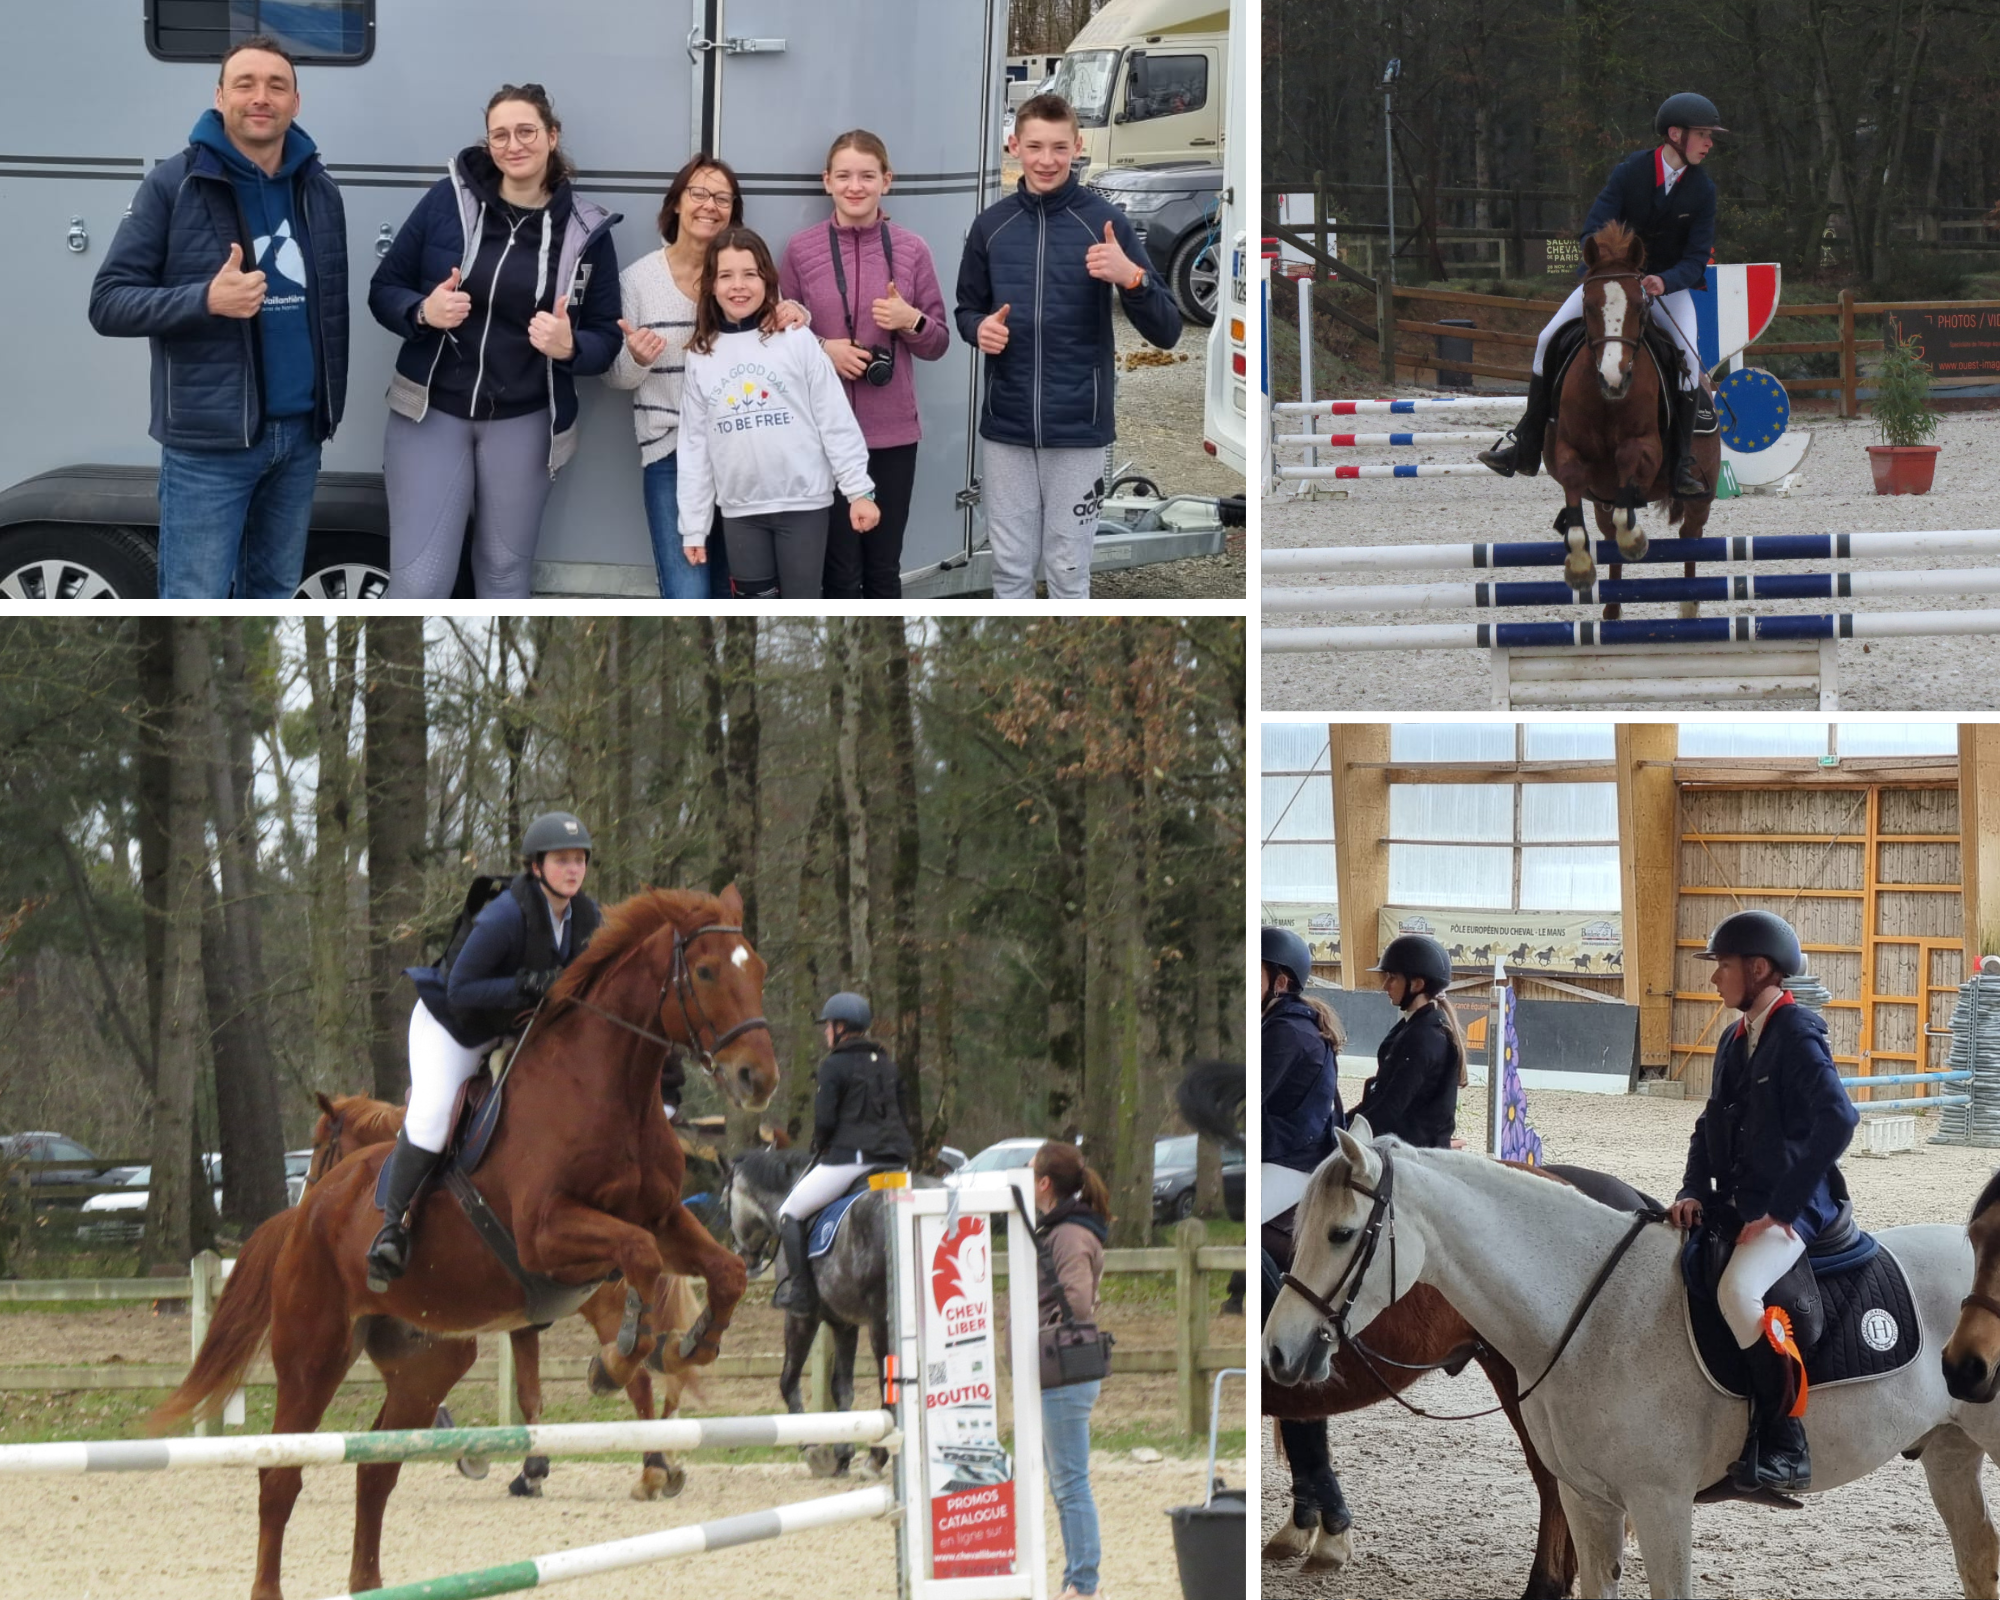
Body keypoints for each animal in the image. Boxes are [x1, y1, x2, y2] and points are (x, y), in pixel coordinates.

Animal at [300, 1088, 700, 1504]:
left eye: (319, 1145)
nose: (308, 1195)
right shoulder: (515, 1324)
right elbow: (529, 1394)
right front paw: (531, 1470)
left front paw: (486, 1458)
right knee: (665, 1373)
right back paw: (669, 1462)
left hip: (610, 1312)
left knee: (639, 1379)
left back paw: (654, 1467)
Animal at [728, 1152, 900, 1472]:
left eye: (724, 1200)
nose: (747, 1261)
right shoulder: (845, 1323)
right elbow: (842, 1386)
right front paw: (842, 1452)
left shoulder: (801, 1318)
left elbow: (788, 1381)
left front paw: (811, 1447)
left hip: (881, 1323)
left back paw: (877, 1456)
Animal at [1264, 1128, 2000, 1600]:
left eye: (1340, 1234)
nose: (1278, 1350)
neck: (1592, 1312)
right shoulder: (1588, 1500)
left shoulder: (1660, 1503)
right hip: (1949, 1453)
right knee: (1978, 1563)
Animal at [1544, 222, 1720, 620]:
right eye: (1588, 305)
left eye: (1640, 305)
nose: (1614, 378)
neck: (1606, 401)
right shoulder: (1567, 451)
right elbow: (1574, 482)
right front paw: (1579, 567)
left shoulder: (1646, 449)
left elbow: (1628, 463)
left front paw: (1636, 540)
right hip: (1601, 502)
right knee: (1609, 536)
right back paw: (1611, 608)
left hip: (1702, 497)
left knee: (1691, 536)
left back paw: (1689, 604)